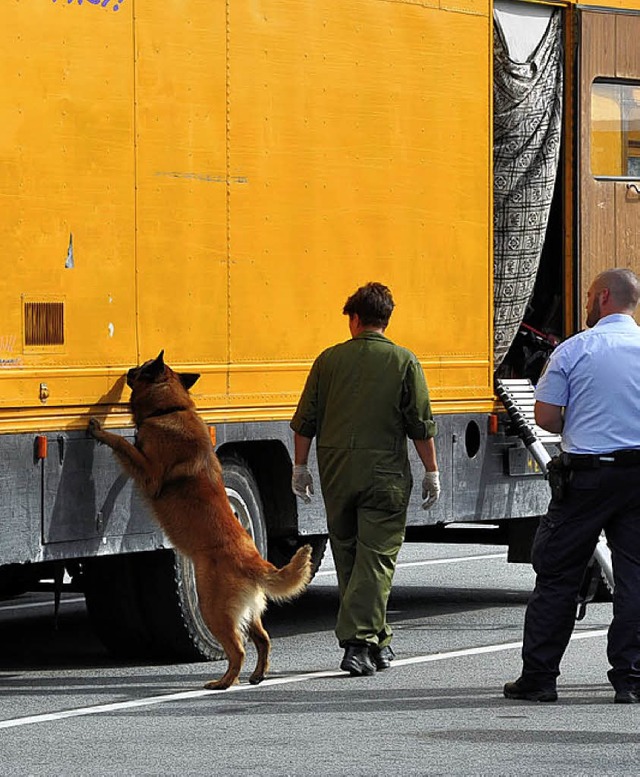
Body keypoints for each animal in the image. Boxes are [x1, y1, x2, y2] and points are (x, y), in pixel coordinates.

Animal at [87, 348, 312, 688]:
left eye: (141, 368)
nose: (128, 369)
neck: (171, 409)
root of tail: (255, 561)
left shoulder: (150, 474)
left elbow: (124, 444)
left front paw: (101, 431)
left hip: (212, 608)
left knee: (238, 649)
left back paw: (224, 682)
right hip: (248, 612)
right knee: (262, 639)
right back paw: (257, 674)